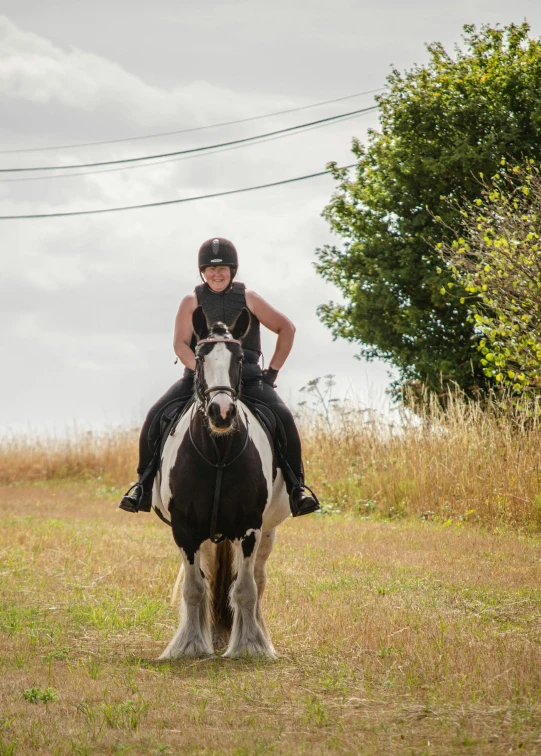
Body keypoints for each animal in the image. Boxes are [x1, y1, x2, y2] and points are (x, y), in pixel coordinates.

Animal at [150, 304, 288, 660]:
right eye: (200, 358)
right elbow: (195, 587)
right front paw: (189, 646)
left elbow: (245, 588)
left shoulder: (250, 527)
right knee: (207, 579)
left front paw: (250, 646)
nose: (221, 412)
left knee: (257, 580)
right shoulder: (185, 529)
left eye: (238, 358)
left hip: (266, 532)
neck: (218, 454)